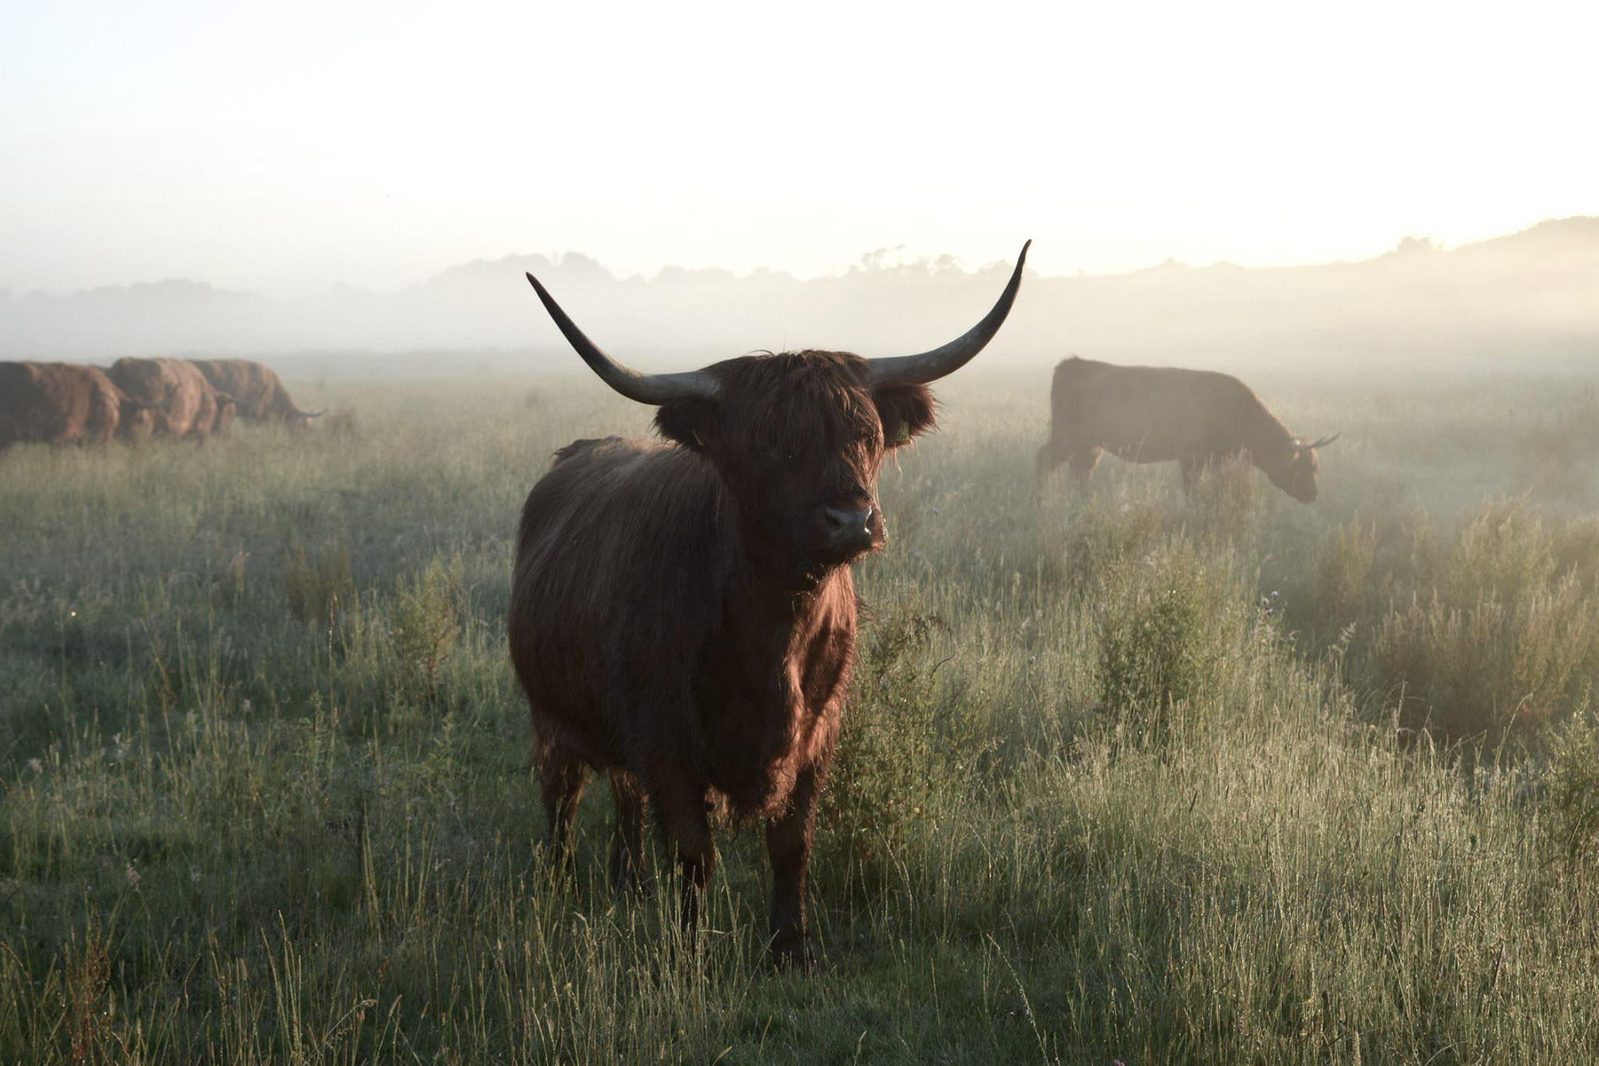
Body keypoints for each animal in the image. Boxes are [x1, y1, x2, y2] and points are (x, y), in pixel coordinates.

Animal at [511, 241, 1036, 965]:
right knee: (562, 797)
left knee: (623, 798)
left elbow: (791, 842)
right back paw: (561, 880)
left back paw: (630, 883)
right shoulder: (666, 735)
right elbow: (693, 852)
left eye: (867, 434)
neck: (772, 628)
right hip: (552, 715)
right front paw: (691, 950)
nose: (851, 520)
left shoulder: (818, 730)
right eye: (769, 443)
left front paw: (790, 944)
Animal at [1036, 357, 1336, 505]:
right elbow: (1192, 491)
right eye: (1300, 467)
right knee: (1044, 459)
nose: (1314, 495)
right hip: (1068, 436)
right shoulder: (1192, 458)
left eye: (1316, 467)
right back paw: (1039, 501)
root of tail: (1074, 363)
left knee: (1080, 470)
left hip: (1091, 444)